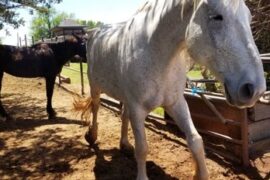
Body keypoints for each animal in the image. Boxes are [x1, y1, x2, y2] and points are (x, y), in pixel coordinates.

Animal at [77, 0, 264, 179]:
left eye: (249, 18)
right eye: (217, 17)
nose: (255, 89)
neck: (155, 54)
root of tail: (94, 33)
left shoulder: (176, 103)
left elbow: (196, 140)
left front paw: (200, 174)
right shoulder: (138, 109)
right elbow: (142, 148)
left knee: (123, 115)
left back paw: (124, 144)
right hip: (95, 88)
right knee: (95, 108)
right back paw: (92, 136)